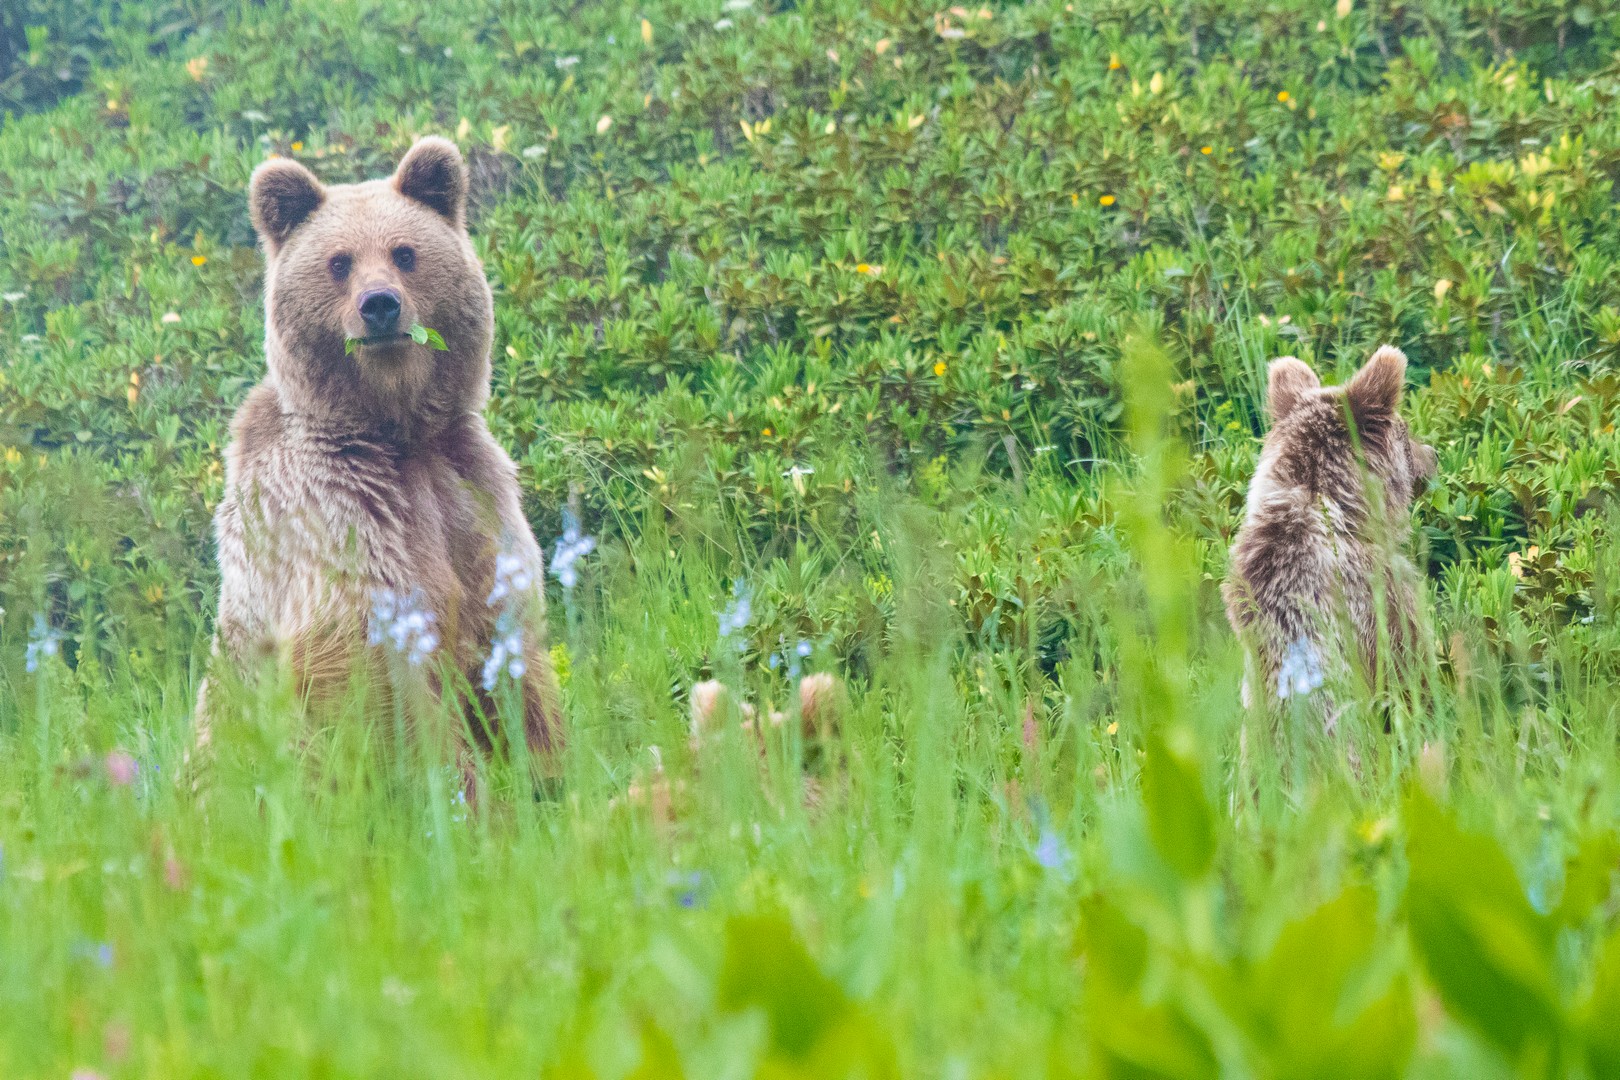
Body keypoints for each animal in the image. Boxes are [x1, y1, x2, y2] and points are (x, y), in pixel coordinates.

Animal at [195, 141, 560, 786]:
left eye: (405, 252)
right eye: (339, 262)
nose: (381, 305)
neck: (399, 431)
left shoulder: (466, 486)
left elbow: (508, 628)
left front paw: (545, 767)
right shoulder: (335, 509)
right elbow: (370, 665)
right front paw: (452, 785)